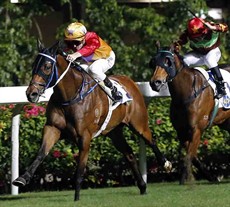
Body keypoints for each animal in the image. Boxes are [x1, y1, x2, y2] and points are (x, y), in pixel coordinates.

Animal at [12, 40, 171, 201]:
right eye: (34, 65)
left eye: (47, 66)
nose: (31, 93)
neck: (69, 96)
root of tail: (130, 82)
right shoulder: (52, 128)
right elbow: (41, 153)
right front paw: (22, 178)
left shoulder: (84, 137)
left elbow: (80, 170)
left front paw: (76, 199)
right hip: (114, 131)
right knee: (129, 154)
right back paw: (142, 186)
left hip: (138, 124)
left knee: (151, 141)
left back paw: (166, 164)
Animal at [149, 41, 230, 184]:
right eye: (153, 61)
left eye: (168, 61)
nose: (155, 83)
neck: (185, 94)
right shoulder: (181, 131)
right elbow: (191, 155)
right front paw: (211, 176)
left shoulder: (196, 129)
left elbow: (189, 155)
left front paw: (184, 178)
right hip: (226, 122)